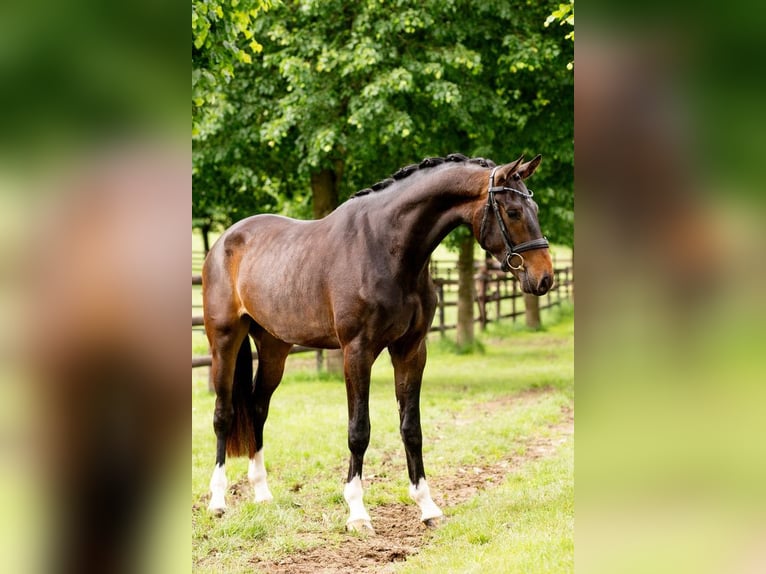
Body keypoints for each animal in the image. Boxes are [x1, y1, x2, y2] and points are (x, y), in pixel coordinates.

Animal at [202, 152, 552, 532]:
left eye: (534, 208)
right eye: (514, 212)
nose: (544, 277)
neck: (387, 249)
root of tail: (224, 241)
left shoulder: (411, 350)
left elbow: (411, 428)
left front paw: (427, 507)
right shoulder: (357, 352)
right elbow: (359, 430)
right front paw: (357, 512)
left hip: (274, 348)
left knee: (257, 408)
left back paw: (262, 493)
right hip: (224, 342)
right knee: (223, 414)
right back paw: (217, 501)